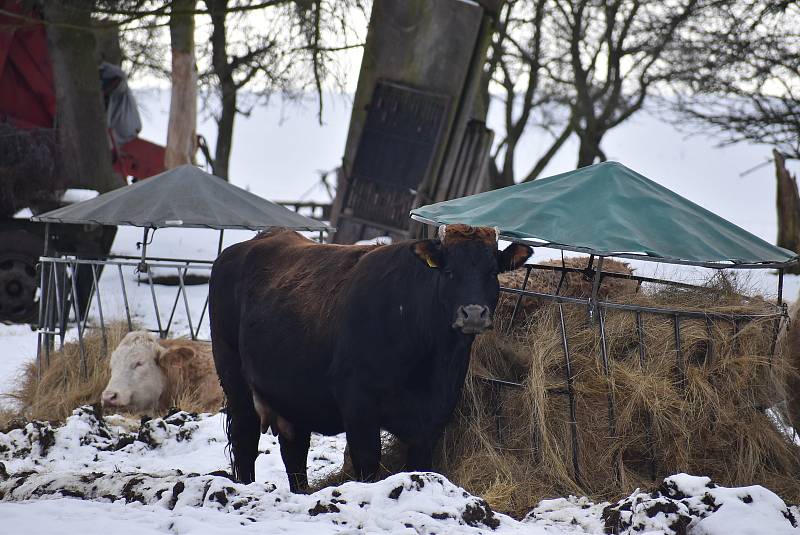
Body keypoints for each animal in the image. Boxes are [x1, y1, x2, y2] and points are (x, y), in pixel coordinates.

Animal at [208, 224, 532, 492]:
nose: (474, 313)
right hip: (235, 380)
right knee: (245, 440)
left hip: (292, 397)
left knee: (294, 452)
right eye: (449, 271)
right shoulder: (358, 404)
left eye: (492, 271)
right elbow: (367, 462)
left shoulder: (433, 418)